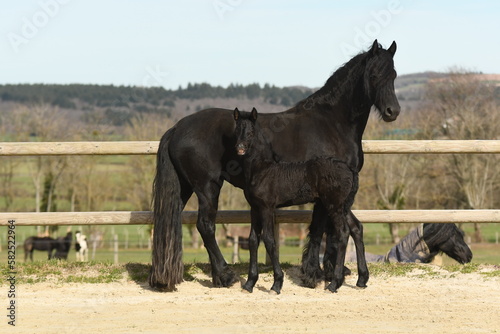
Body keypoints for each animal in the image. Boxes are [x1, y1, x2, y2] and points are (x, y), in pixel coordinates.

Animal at [232, 107, 358, 292]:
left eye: (251, 132)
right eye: (237, 130)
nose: (240, 148)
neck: (262, 170)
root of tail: (348, 168)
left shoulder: (267, 208)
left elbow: (269, 240)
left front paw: (277, 284)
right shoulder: (254, 208)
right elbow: (253, 240)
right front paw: (249, 283)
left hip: (334, 205)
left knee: (342, 233)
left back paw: (334, 283)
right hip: (341, 206)